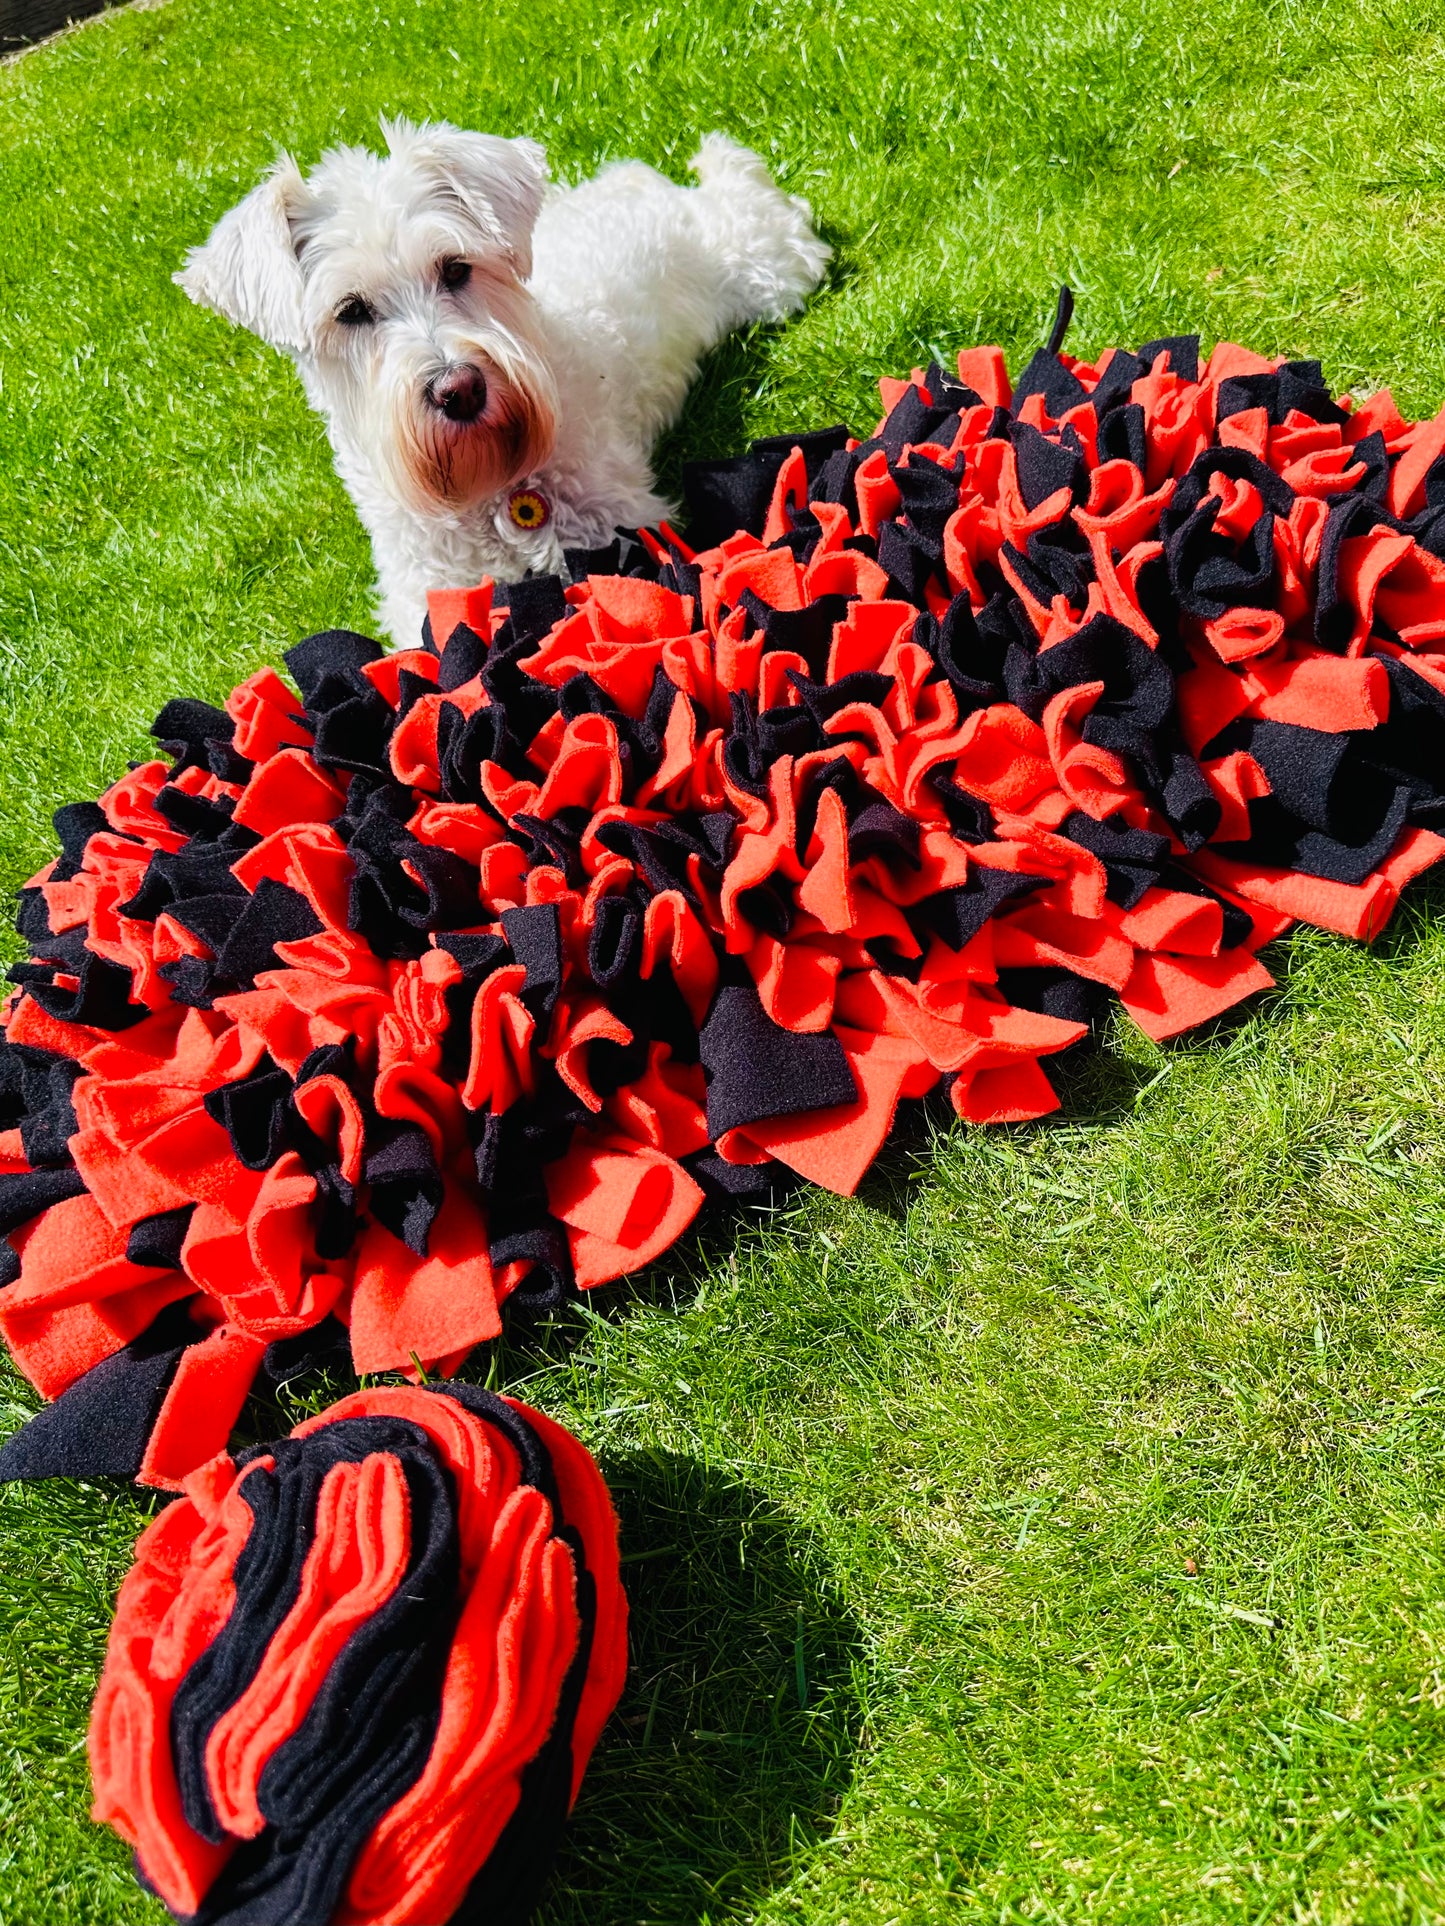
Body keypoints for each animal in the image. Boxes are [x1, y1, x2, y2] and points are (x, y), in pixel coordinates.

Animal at [175, 118, 832, 647]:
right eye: (351, 310)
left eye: (455, 268)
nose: (459, 389)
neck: (488, 489)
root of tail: (645, 184)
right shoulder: (426, 595)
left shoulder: (612, 530)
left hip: (765, 270)